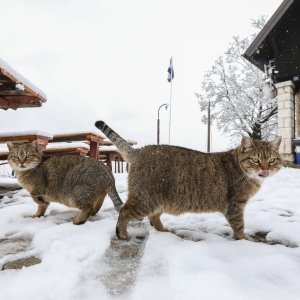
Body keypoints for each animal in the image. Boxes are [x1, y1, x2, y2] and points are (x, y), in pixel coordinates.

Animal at [95, 120, 284, 240]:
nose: (265, 170)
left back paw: (163, 230)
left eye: (272, 160)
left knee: (153, 217)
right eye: (255, 160)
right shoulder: (235, 205)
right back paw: (121, 233)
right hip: (145, 200)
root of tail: (139, 150)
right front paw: (244, 239)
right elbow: (239, 226)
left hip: (159, 201)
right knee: (124, 211)